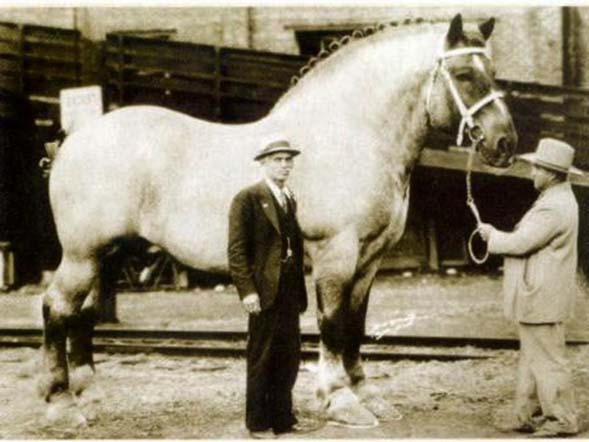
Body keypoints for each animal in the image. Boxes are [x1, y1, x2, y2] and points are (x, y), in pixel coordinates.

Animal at [39, 14, 516, 428]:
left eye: (493, 71)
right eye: (465, 74)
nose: (505, 143)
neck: (349, 134)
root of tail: (72, 140)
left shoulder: (370, 259)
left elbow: (356, 325)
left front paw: (366, 394)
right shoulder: (335, 253)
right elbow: (332, 323)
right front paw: (340, 400)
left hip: (109, 254)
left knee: (82, 314)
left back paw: (90, 395)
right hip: (83, 254)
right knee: (57, 308)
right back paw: (61, 404)